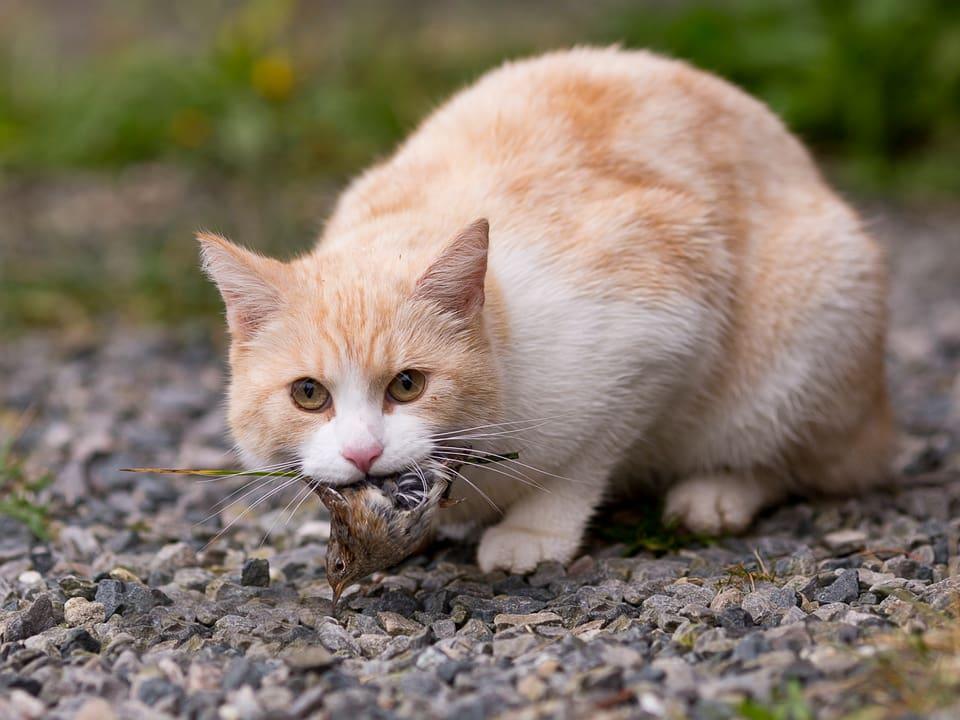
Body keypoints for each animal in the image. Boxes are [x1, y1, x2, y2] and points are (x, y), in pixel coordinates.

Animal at [199, 47, 896, 572]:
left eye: (407, 385)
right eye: (309, 394)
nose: (364, 454)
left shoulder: (663, 330)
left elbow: (580, 465)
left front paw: (534, 534)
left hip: (814, 317)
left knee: (805, 460)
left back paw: (714, 494)